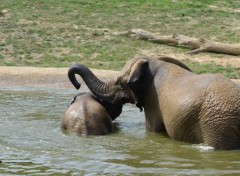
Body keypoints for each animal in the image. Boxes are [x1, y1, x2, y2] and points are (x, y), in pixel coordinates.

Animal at [67, 56, 240, 150]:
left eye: (120, 82)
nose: (77, 85)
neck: (152, 61)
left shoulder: (152, 100)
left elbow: (152, 130)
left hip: (216, 123)